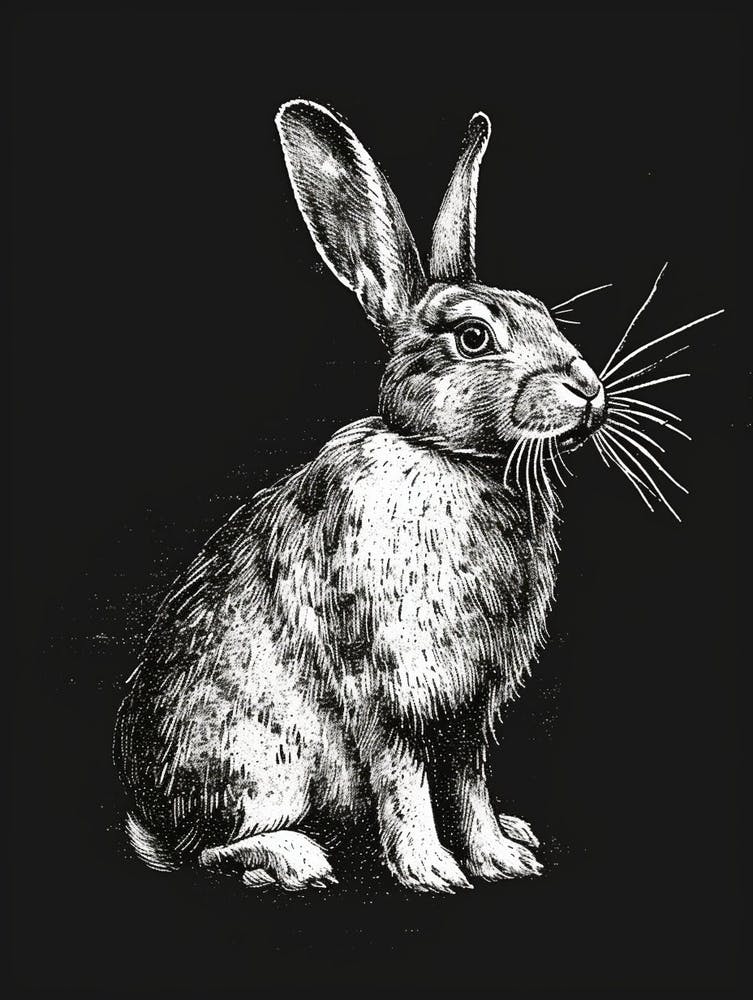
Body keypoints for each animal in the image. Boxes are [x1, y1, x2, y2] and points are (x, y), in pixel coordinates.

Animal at [114, 99, 608, 894]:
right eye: (474, 337)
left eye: (542, 312)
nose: (587, 389)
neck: (445, 455)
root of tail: (148, 817)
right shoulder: (385, 686)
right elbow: (404, 783)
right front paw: (432, 872)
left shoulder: (469, 710)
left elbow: (468, 784)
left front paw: (499, 859)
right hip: (261, 766)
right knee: (207, 850)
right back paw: (294, 860)